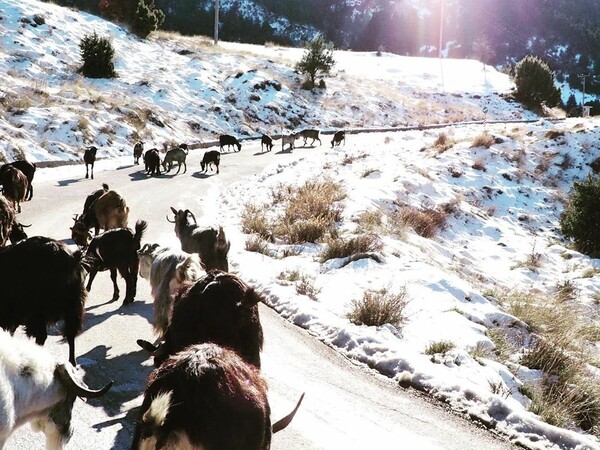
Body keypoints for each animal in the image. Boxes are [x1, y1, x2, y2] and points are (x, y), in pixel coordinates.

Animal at [0, 236, 88, 366]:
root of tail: (71, 261)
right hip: (73, 308)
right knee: (70, 335)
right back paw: (72, 363)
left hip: (39, 311)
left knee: (42, 337)